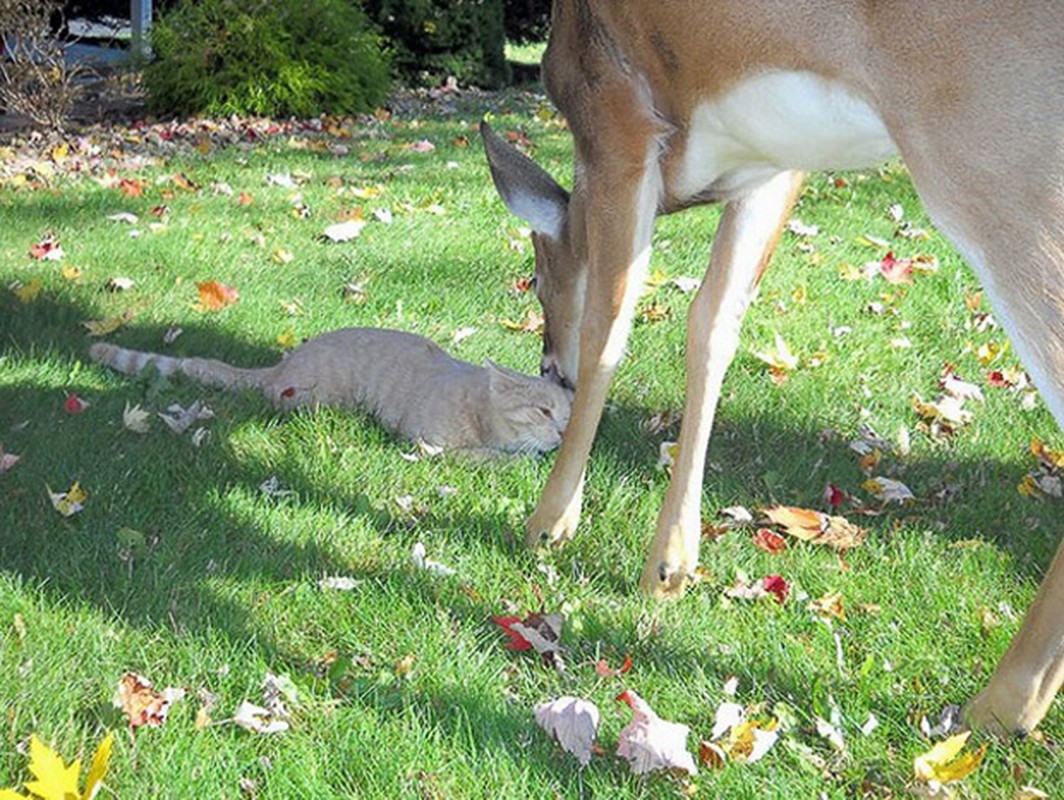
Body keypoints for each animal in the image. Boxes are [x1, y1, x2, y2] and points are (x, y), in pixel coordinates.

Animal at [89, 327, 574, 455]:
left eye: (568, 416)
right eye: (543, 411)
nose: (565, 433)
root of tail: (281, 365)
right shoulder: (430, 446)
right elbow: (489, 459)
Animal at [487, 1, 1064, 736]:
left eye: (534, 279)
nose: (548, 367)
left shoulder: (617, 112)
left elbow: (610, 325)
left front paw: (551, 522)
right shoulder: (775, 165)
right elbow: (713, 323)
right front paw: (670, 566)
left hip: (998, 162)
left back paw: (998, 703)